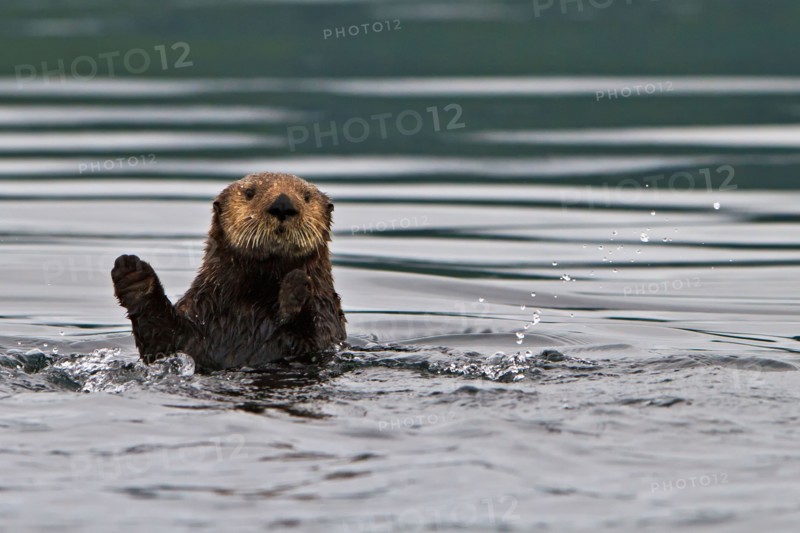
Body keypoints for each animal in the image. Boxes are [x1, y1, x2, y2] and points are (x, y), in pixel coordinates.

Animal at [111, 172, 346, 372]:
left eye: (306, 197)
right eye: (249, 192)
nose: (282, 205)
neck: (257, 297)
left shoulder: (328, 318)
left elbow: (316, 340)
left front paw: (296, 286)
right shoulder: (197, 314)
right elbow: (161, 341)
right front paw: (135, 277)